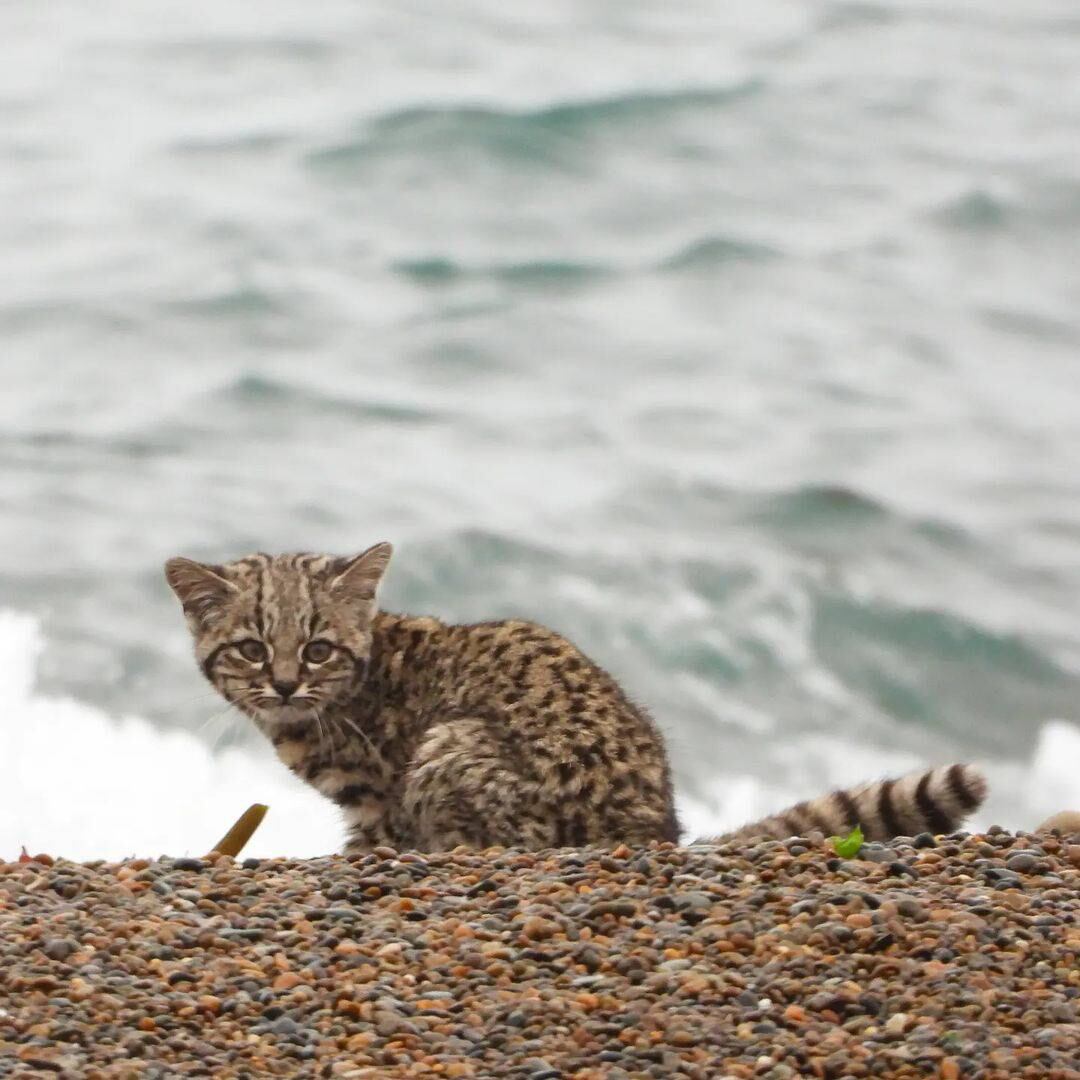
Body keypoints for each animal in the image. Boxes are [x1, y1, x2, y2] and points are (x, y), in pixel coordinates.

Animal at [162, 544, 989, 855]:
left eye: (317, 649)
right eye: (252, 648)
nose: (283, 683)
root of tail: (647, 830)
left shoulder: (380, 799)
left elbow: (372, 841)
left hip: (452, 747)